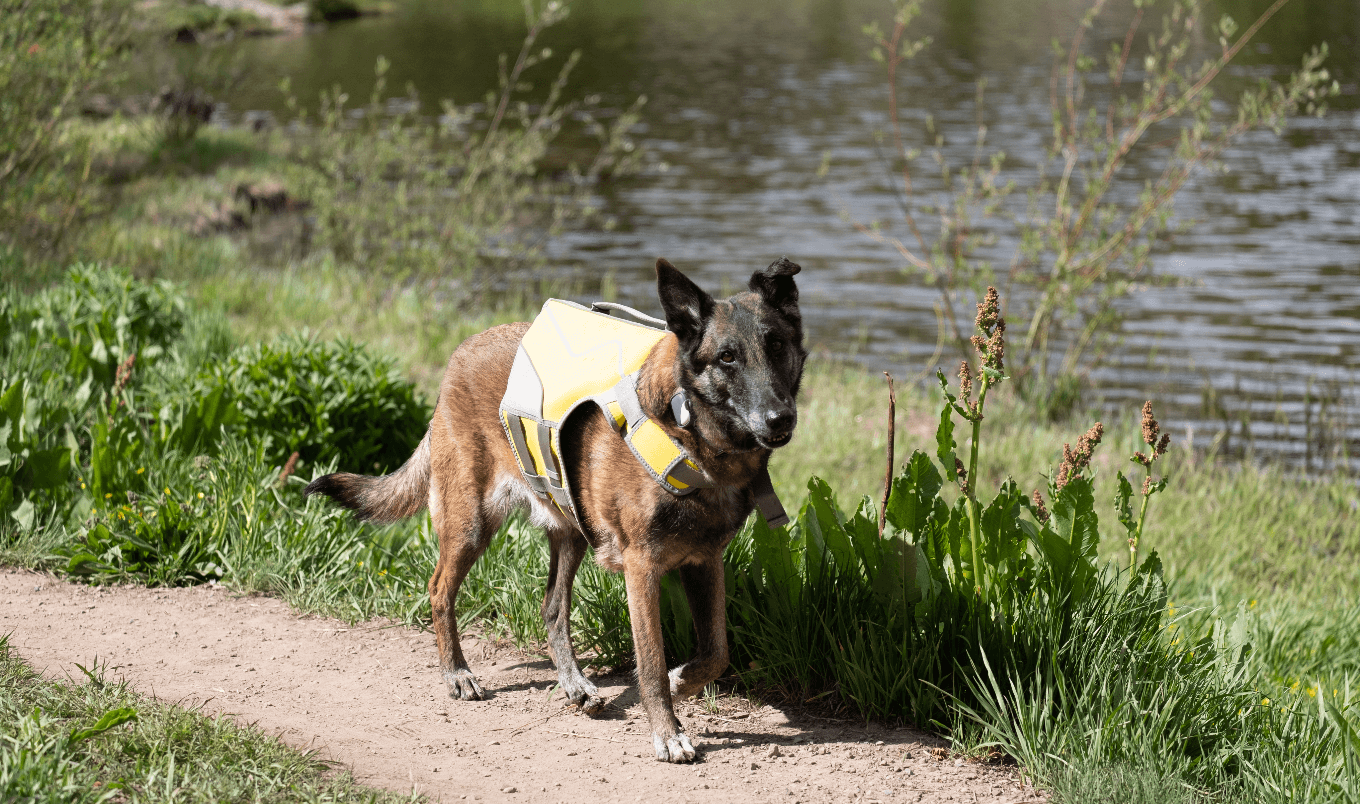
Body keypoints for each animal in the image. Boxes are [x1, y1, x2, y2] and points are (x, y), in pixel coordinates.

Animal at [303, 258, 799, 761]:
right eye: (727, 358)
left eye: (776, 345)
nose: (780, 418)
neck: (691, 433)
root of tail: (460, 352)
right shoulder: (642, 567)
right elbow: (652, 662)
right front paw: (667, 730)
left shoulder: (705, 561)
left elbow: (716, 652)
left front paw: (682, 683)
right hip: (471, 524)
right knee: (439, 589)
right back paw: (457, 673)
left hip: (572, 531)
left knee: (552, 608)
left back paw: (574, 684)